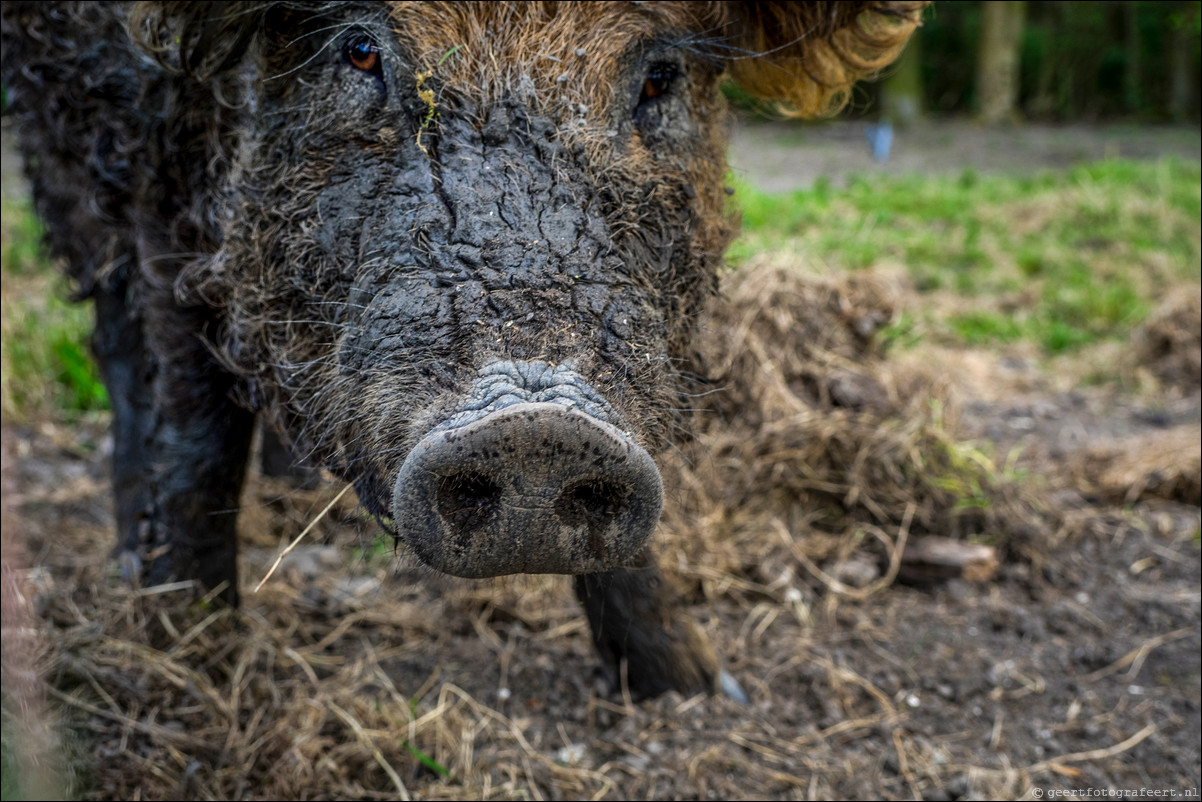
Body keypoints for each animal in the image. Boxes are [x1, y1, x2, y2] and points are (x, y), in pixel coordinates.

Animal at [2, 1, 918, 697]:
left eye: (659, 75)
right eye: (360, 49)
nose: (536, 428)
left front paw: (693, 687)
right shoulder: (161, 182)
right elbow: (197, 433)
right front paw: (191, 664)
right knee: (117, 342)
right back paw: (131, 558)